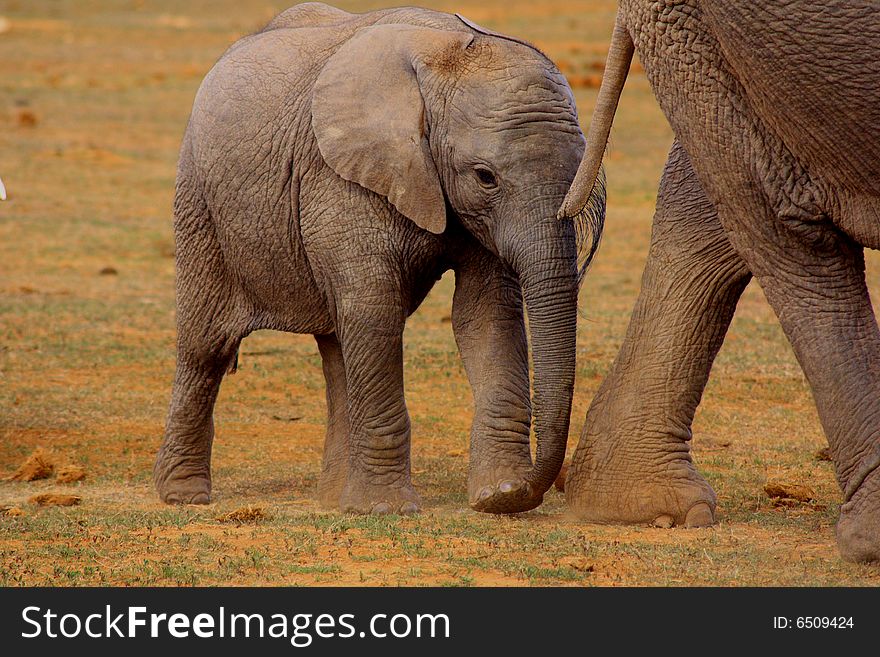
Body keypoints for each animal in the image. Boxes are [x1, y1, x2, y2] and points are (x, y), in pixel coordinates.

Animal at [153, 5, 604, 516]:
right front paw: (388, 510)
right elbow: (376, 309)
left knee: (337, 349)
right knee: (206, 346)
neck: (444, 53)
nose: (533, 488)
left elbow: (485, 312)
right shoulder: (340, 176)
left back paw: (334, 500)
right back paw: (184, 496)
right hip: (198, 197)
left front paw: (498, 494)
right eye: (485, 177)